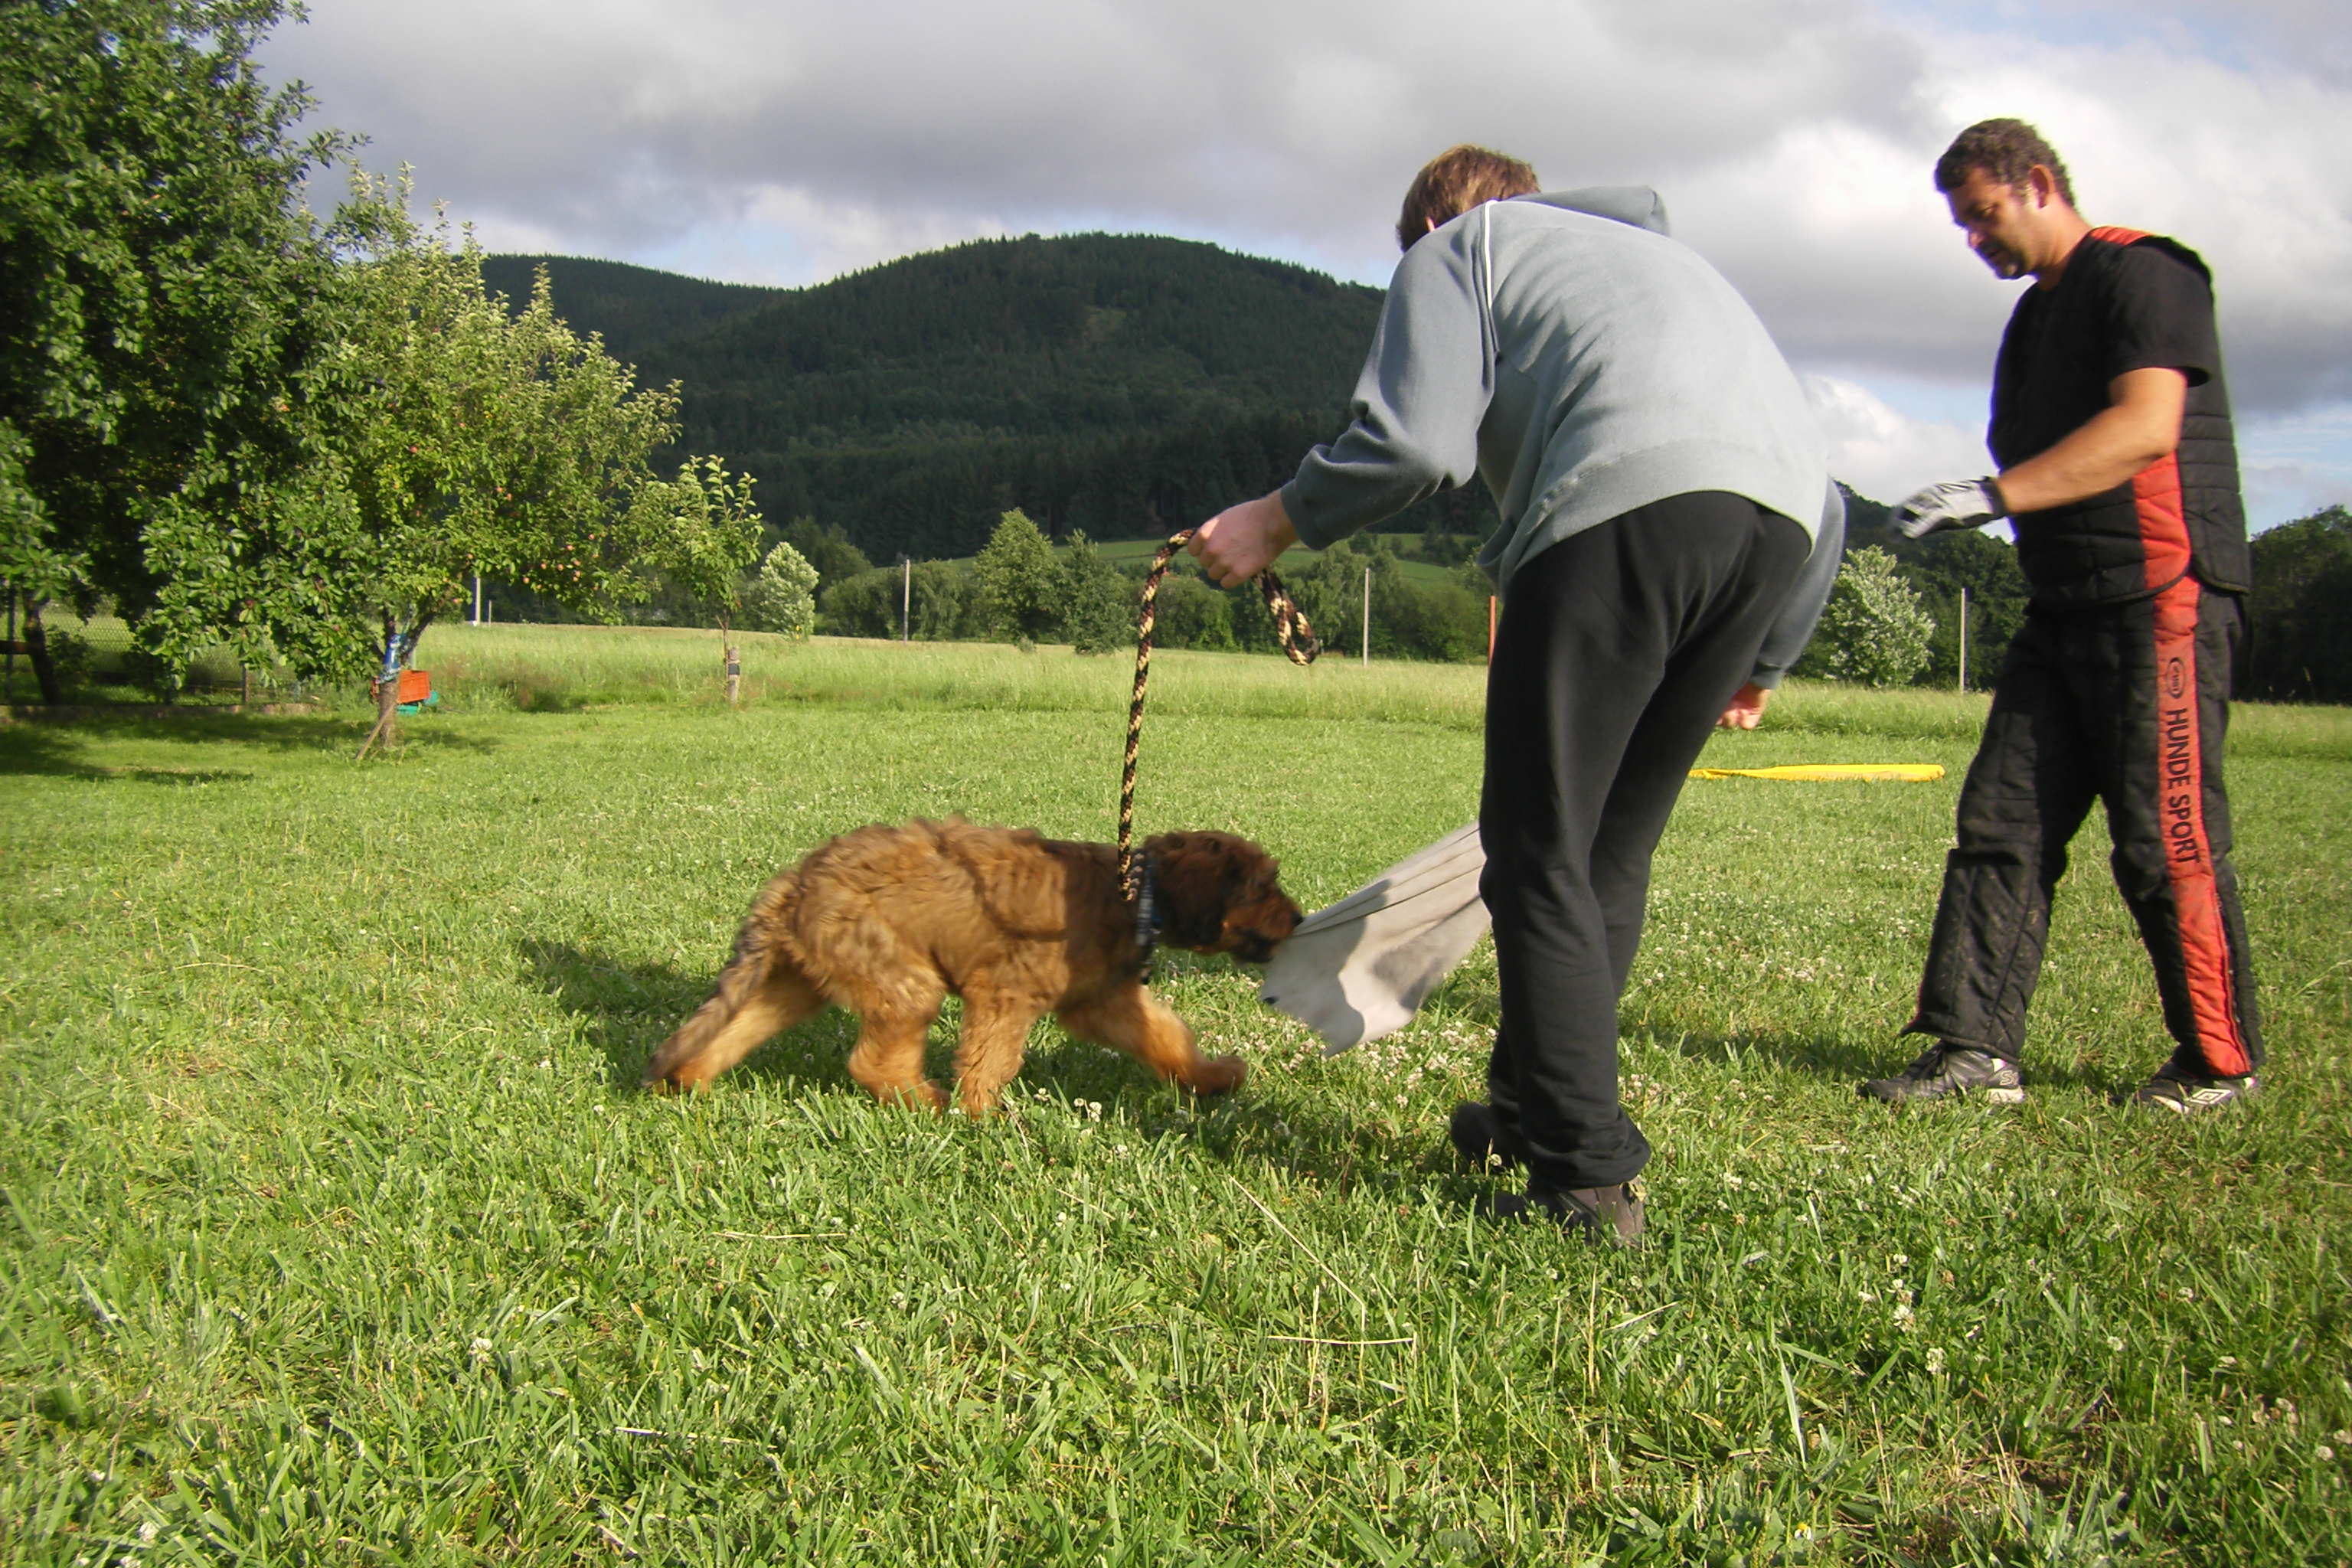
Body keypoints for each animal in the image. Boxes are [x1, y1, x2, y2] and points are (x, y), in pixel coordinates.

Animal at [644, 822, 1308, 1114]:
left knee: (737, 1026)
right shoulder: (1004, 993)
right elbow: (991, 1058)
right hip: (902, 978)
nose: (1300, 919)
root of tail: (797, 883)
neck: (1133, 894)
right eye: (1261, 887)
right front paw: (984, 1112)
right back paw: (925, 1100)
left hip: (801, 980)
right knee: (873, 1061)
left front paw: (1211, 1078)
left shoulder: (1102, 1003)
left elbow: (1166, 1037)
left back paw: (690, 1080)